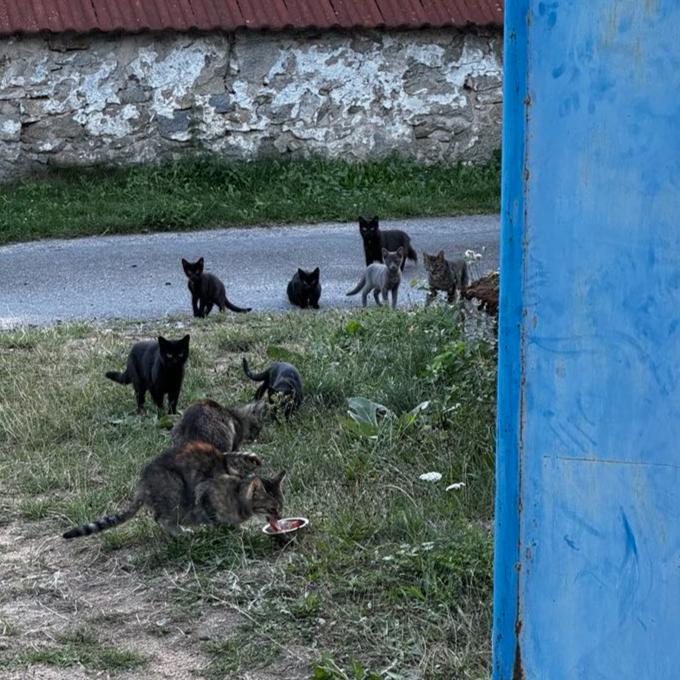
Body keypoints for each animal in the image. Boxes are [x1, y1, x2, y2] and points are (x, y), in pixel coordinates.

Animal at [62, 440, 286, 540]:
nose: (281, 516)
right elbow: (217, 518)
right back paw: (181, 533)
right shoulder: (206, 493)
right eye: (272, 508)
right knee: (161, 518)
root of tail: (142, 483)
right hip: (175, 491)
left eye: (281, 506)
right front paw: (234, 530)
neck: (237, 493)